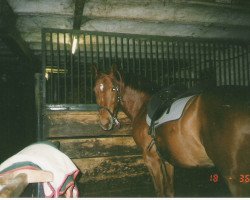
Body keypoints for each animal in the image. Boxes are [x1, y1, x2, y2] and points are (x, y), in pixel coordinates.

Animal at [93, 65, 250, 196]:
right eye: (95, 90)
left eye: (113, 89)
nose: (105, 122)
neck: (143, 107)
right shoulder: (167, 160)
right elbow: (169, 190)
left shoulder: (151, 160)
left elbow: (160, 192)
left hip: (235, 179)